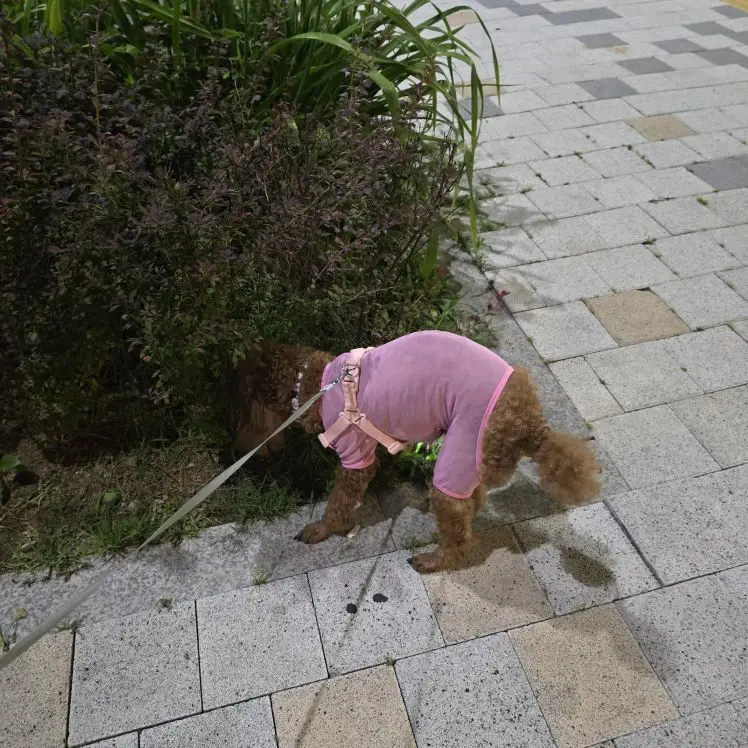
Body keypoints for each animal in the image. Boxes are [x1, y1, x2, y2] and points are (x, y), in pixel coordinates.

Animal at [232, 331, 601, 573]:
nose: (239, 448)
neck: (316, 385)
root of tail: (532, 424)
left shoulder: (355, 455)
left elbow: (339, 502)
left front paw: (321, 530)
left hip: (464, 443)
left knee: (459, 530)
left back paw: (434, 560)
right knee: (472, 500)